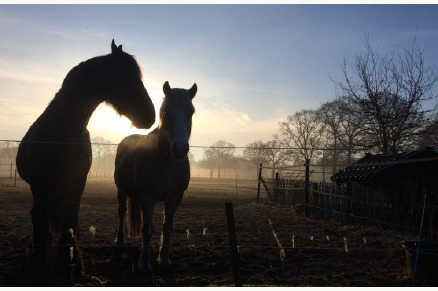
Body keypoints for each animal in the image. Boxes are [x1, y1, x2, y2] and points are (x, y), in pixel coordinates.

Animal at [15, 39, 156, 280]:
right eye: (123, 76)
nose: (150, 115)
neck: (64, 128)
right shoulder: (40, 185)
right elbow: (43, 223)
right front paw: (42, 265)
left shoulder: (77, 182)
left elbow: (70, 222)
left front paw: (70, 265)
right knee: (39, 219)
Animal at [114, 81, 197, 282]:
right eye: (166, 111)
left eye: (191, 112)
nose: (180, 149)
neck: (165, 162)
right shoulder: (147, 198)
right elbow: (146, 231)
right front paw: (145, 265)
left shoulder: (174, 198)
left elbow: (166, 228)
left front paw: (164, 261)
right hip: (122, 192)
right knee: (122, 213)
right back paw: (120, 240)